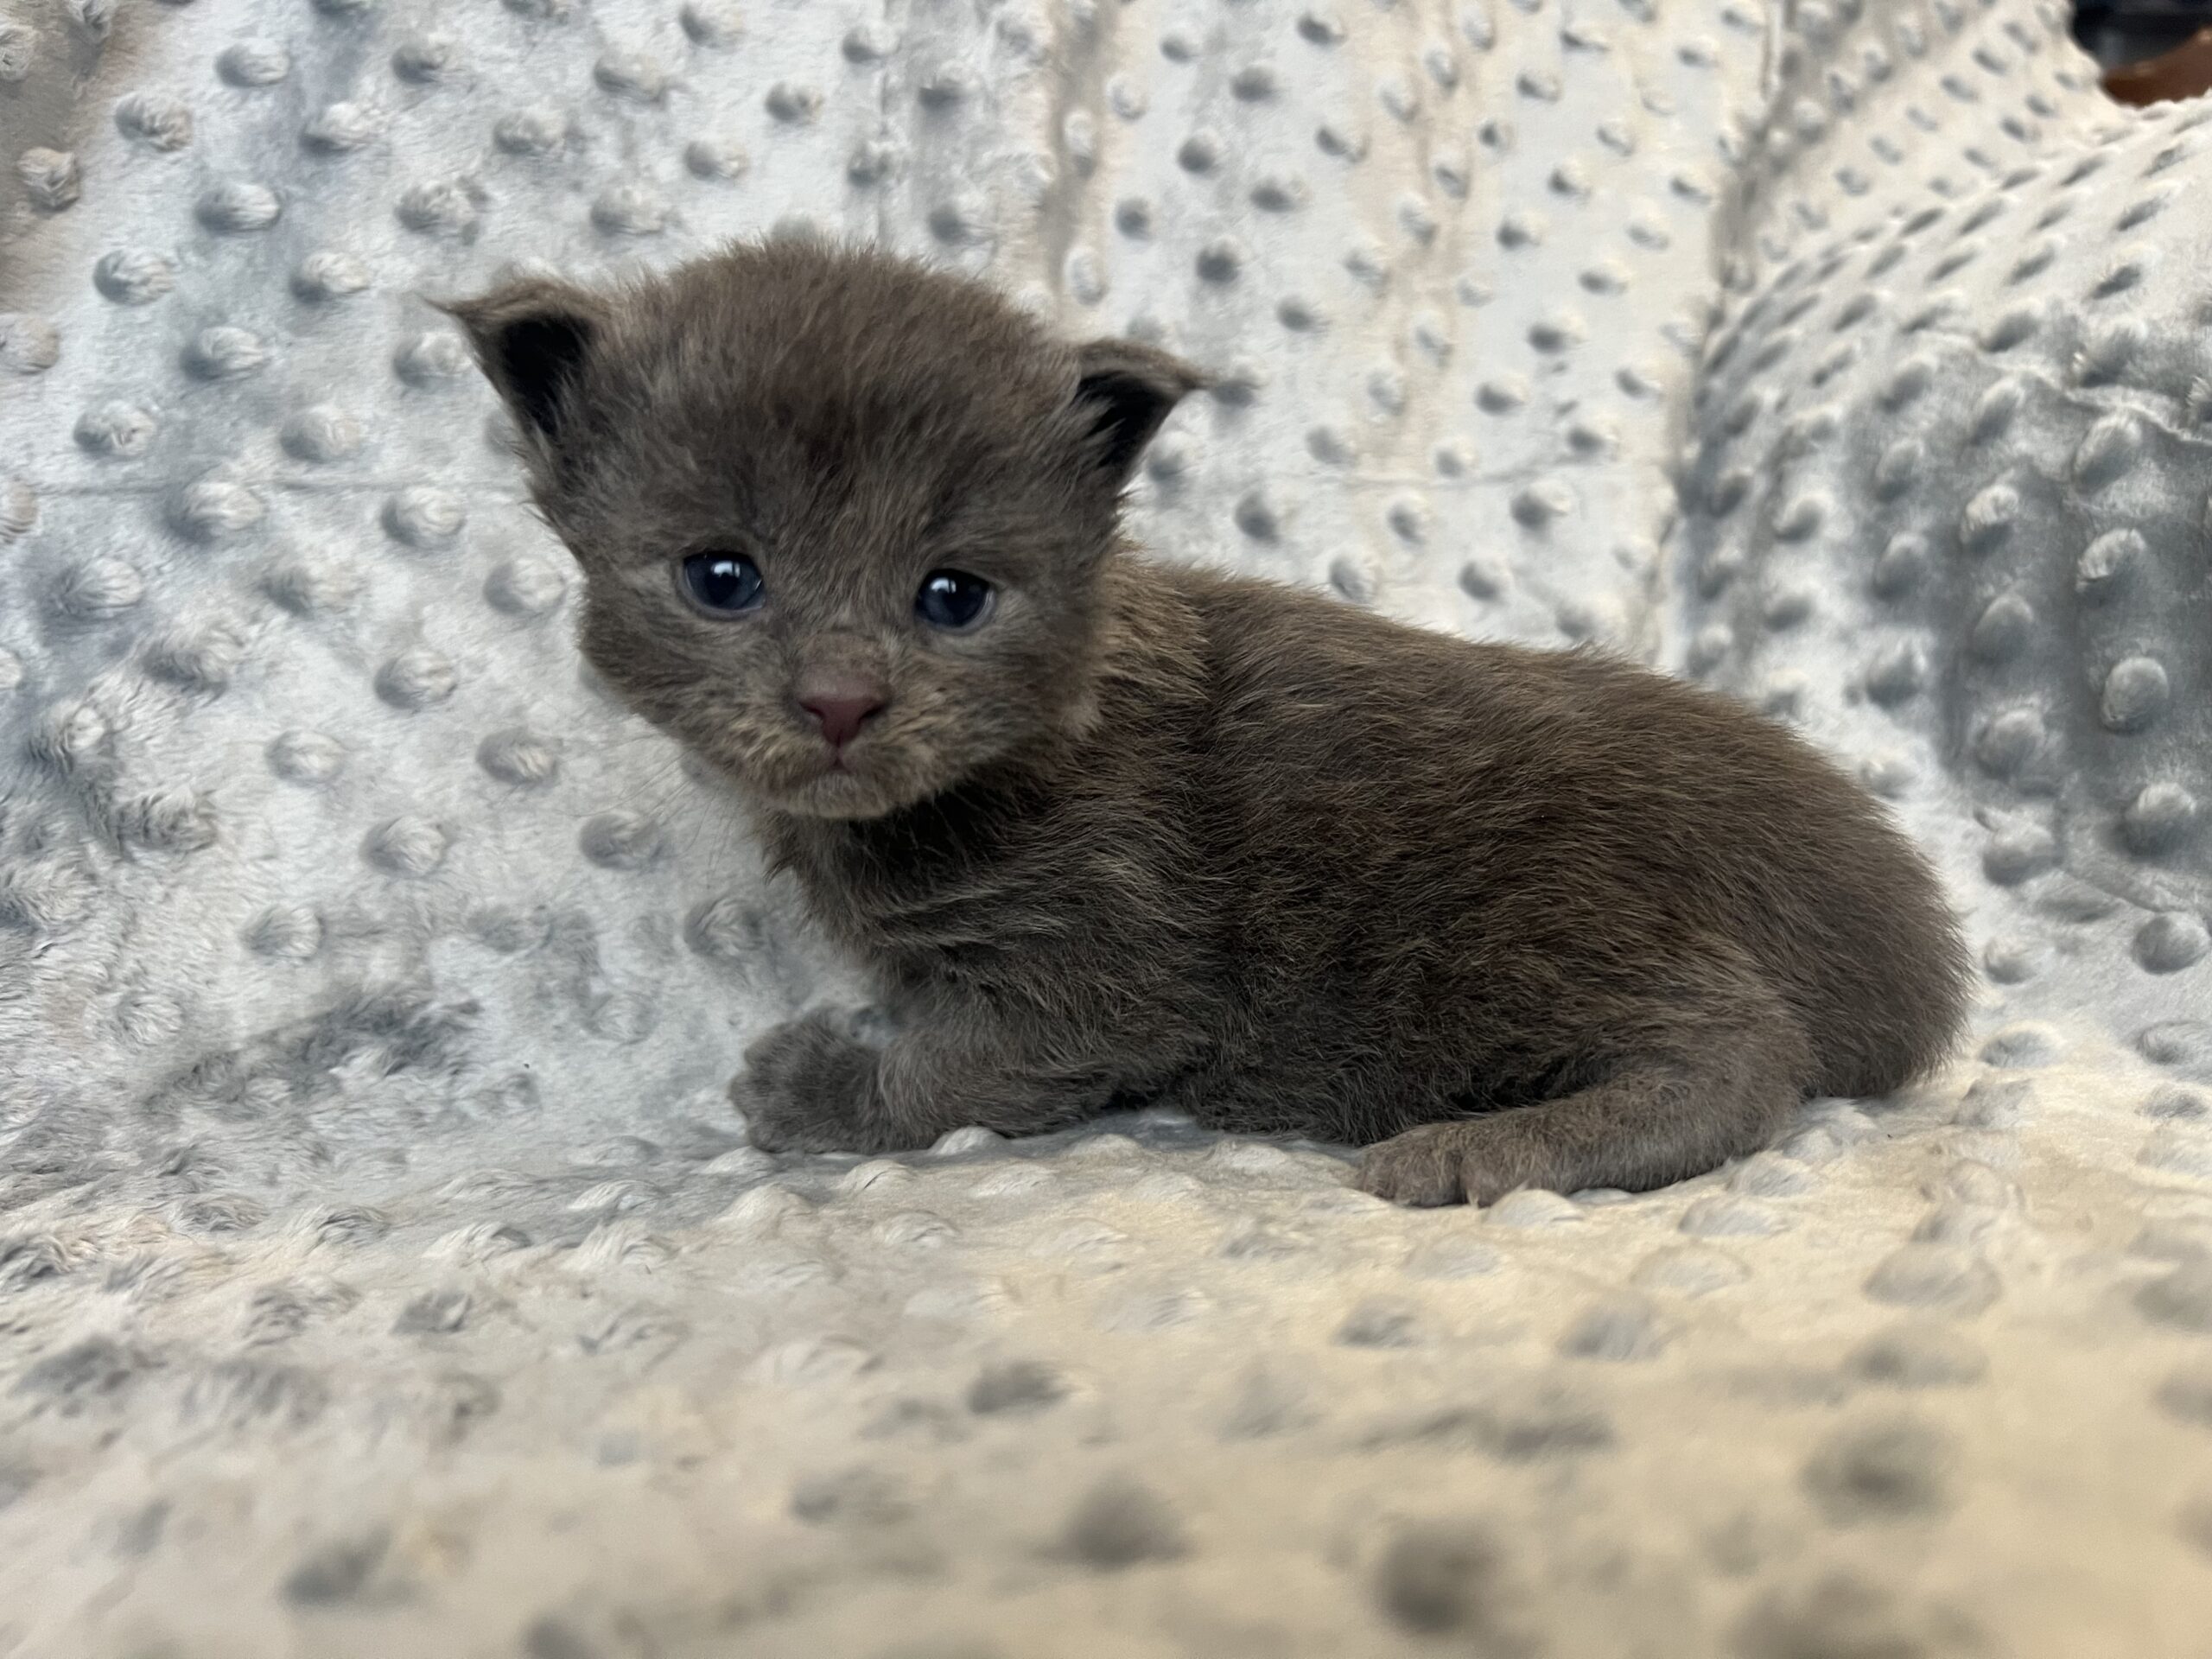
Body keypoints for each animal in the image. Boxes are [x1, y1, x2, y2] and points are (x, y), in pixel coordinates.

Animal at [445, 235, 1972, 1206]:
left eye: (954, 595)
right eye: (722, 578)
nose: (838, 699)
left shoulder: (1107, 946)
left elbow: (963, 1068)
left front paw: (815, 1090)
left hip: (1526, 920)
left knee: (1743, 1056)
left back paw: (1483, 1150)